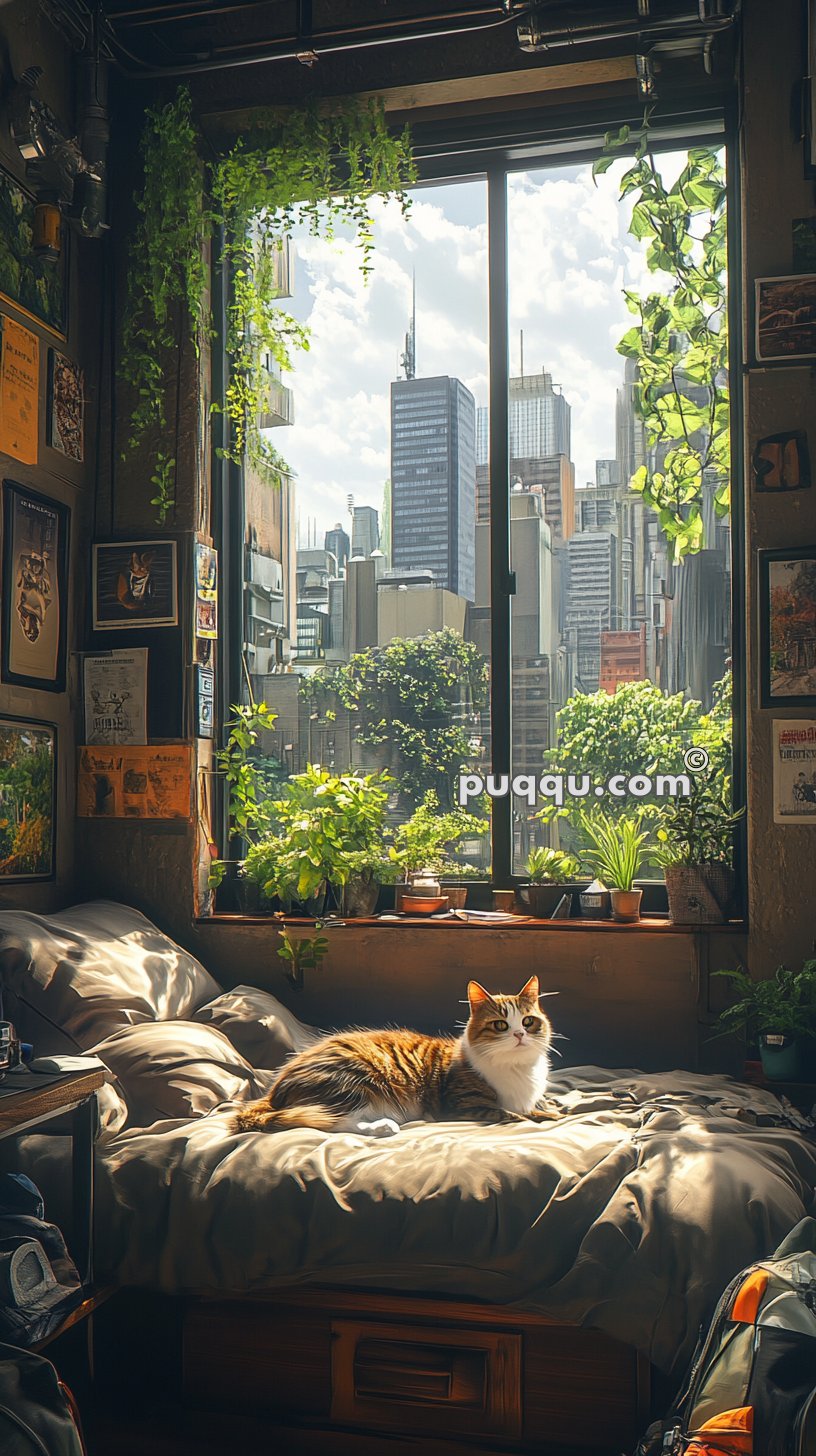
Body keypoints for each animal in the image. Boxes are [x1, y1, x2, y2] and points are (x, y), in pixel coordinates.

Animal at [233, 978, 556, 1135]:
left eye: (528, 1021)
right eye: (501, 1025)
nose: (520, 1034)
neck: (518, 1070)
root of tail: (274, 1089)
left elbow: (541, 1110)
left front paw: (553, 1111)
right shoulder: (464, 1105)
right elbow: (515, 1116)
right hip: (352, 1081)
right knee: (328, 1120)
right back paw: (384, 1127)